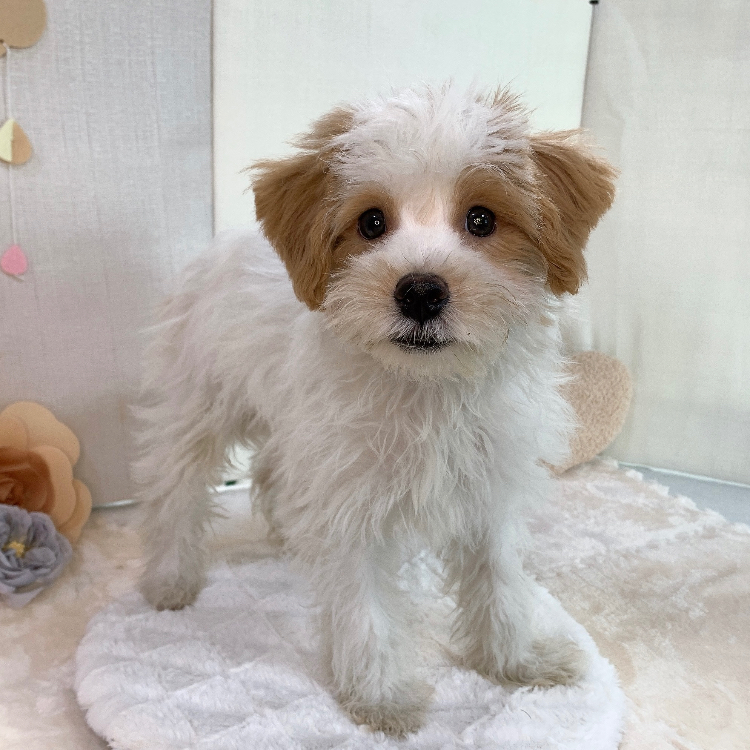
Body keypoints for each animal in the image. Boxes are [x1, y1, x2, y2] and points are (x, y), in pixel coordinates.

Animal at [136, 84, 616, 736]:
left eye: (482, 219)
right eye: (371, 223)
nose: (420, 290)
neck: (427, 389)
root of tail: (225, 244)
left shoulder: (491, 490)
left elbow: (501, 583)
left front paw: (519, 659)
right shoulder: (349, 508)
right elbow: (365, 610)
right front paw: (382, 696)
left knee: (273, 471)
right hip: (201, 406)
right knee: (176, 489)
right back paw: (171, 578)